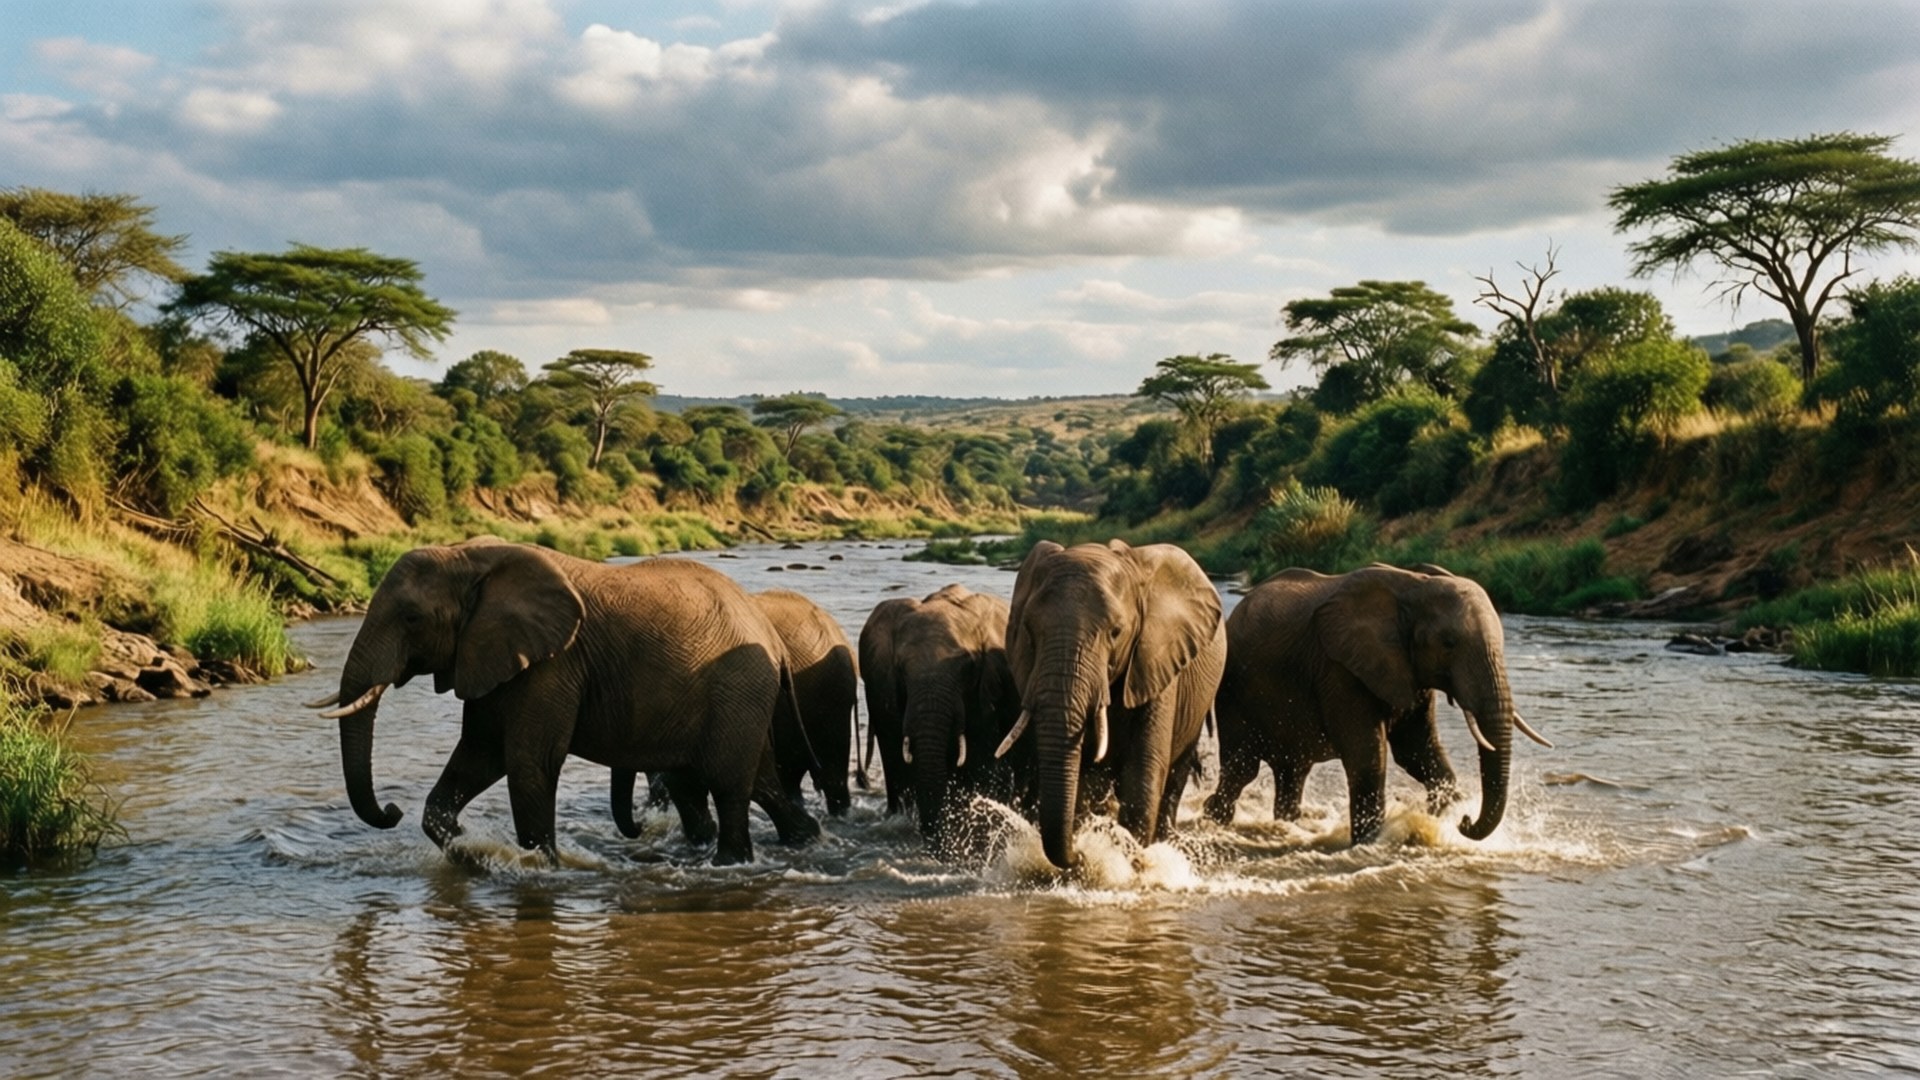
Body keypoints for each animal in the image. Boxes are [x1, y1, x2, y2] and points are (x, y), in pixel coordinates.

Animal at [308, 537, 819, 866]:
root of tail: (771, 637)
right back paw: (802, 841)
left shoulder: (553, 663)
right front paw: (470, 852)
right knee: (759, 780)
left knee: (730, 782)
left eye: (412, 618)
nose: (390, 812)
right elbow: (480, 753)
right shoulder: (495, 656)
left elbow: (527, 761)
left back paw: (729, 865)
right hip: (742, 696)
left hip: (739, 687)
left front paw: (541, 867)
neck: (468, 557)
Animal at [999, 540, 1226, 870]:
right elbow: (1081, 780)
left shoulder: (1156, 659)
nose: (1079, 853)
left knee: (1175, 776)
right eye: (1029, 631)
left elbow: (1139, 778)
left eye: (1116, 632)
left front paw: (1123, 859)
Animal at [1201, 564, 1552, 844]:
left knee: (1292, 772)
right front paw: (1368, 843)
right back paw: (1212, 818)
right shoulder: (1339, 669)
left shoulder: (1411, 673)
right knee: (1242, 769)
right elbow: (1368, 755)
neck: (1415, 585)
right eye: (1449, 644)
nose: (1465, 823)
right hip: (1233, 694)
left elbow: (1418, 751)